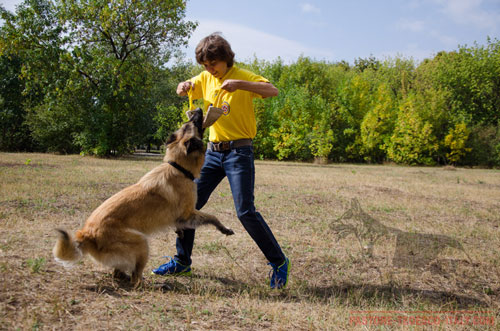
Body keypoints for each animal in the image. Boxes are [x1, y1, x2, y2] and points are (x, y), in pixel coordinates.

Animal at [53, 108, 234, 288]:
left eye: (188, 122)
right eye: (194, 123)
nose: (197, 109)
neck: (178, 167)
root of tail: (87, 235)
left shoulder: (182, 218)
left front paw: (180, 232)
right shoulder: (188, 214)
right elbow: (212, 217)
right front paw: (225, 229)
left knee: (119, 273)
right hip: (142, 243)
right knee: (136, 279)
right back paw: (156, 285)